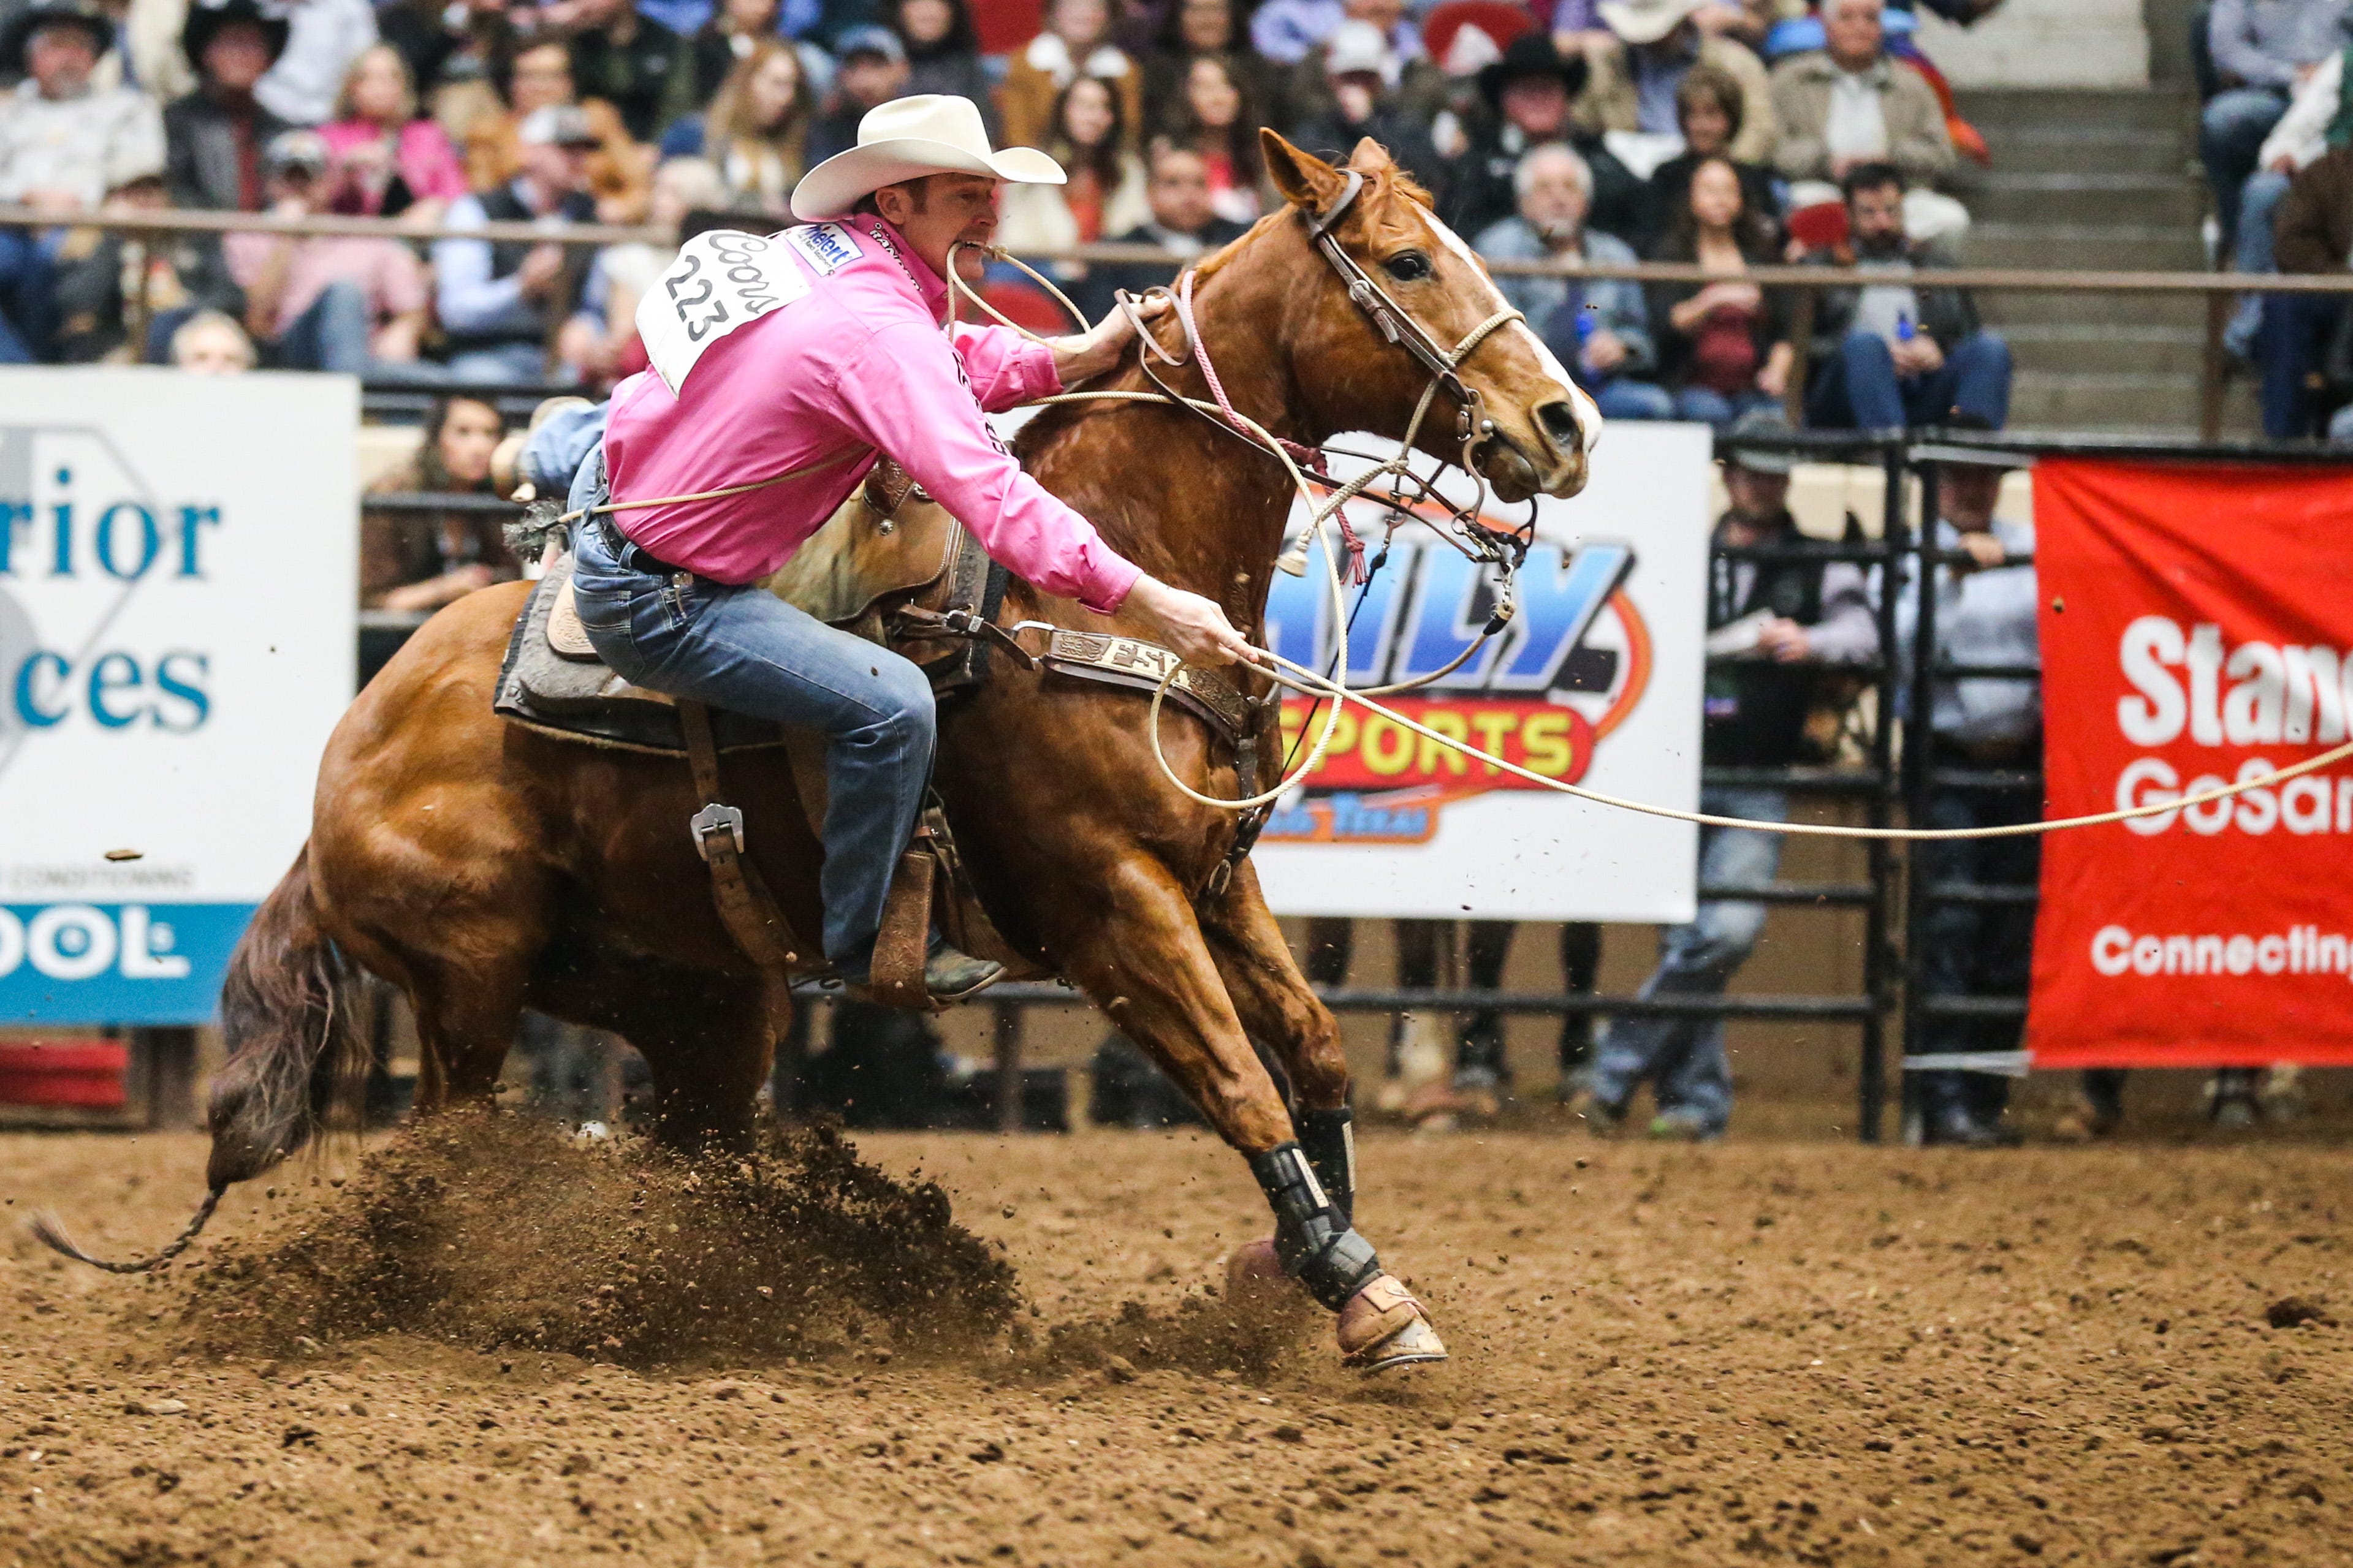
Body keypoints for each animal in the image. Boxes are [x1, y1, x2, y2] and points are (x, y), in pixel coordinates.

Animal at [192, 131, 1591, 1363]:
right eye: (1406, 261)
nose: (1564, 422)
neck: (1088, 594)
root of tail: (351, 747)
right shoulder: (1112, 906)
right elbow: (1241, 1079)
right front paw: (1362, 1294)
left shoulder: (1211, 877)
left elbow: (1311, 1048)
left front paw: (1292, 1262)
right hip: (470, 987)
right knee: (441, 1155)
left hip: (697, 997)